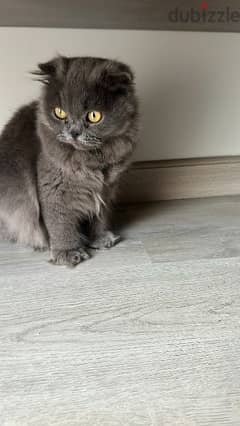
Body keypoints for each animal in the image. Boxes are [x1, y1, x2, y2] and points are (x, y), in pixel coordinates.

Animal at [0, 55, 139, 264]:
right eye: (60, 112)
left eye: (94, 115)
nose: (74, 132)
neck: (93, 162)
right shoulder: (54, 191)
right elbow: (60, 225)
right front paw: (68, 252)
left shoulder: (105, 191)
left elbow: (98, 219)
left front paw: (99, 239)